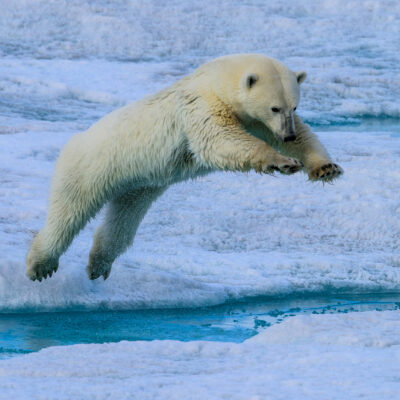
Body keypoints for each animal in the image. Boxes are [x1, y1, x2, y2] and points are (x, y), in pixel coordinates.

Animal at [26, 54, 342, 282]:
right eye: (275, 107)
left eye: (294, 106)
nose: (286, 134)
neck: (216, 80)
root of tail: (73, 142)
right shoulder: (201, 106)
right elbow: (217, 139)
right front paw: (281, 162)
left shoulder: (256, 121)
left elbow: (304, 137)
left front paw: (325, 168)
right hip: (89, 166)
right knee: (68, 213)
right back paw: (40, 265)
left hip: (139, 184)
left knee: (122, 221)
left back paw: (98, 265)